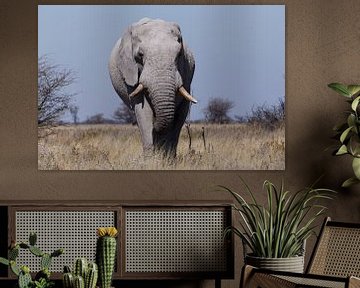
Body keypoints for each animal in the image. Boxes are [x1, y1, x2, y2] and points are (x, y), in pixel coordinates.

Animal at [109, 17, 197, 158]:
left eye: (179, 55)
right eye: (140, 55)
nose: (155, 125)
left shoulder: (186, 77)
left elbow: (180, 116)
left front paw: (168, 159)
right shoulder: (131, 73)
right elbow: (143, 111)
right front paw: (151, 160)